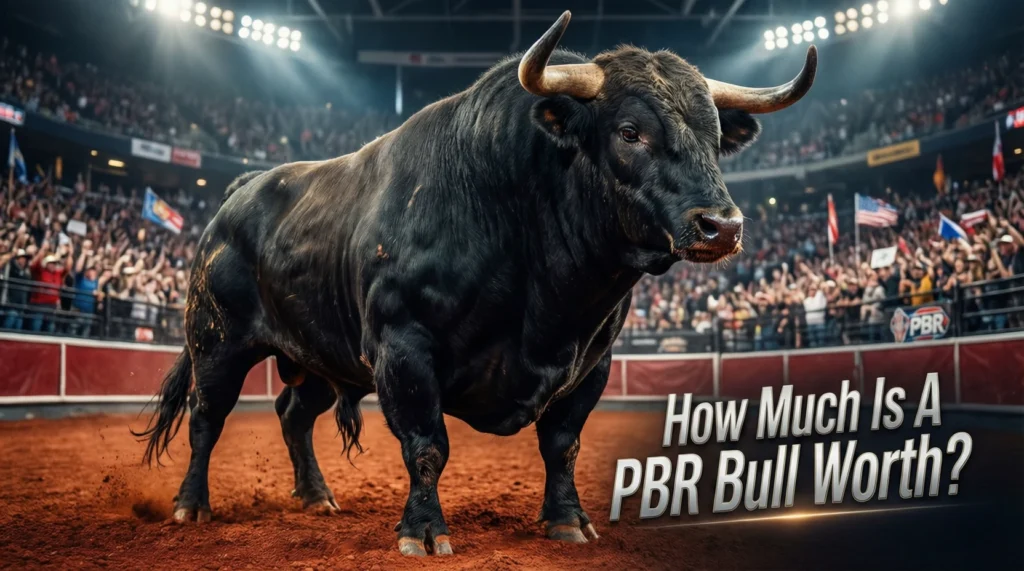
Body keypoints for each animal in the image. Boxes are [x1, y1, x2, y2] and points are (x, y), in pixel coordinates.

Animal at [136, 11, 816, 557]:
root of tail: (239, 193)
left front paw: (568, 521)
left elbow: (562, 444)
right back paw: (191, 505)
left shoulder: (593, 363)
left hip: (319, 356)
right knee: (206, 416)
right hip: (218, 340)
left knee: (292, 415)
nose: (722, 225)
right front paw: (423, 530)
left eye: (716, 139)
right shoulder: (403, 349)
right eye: (630, 131)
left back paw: (316, 497)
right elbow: (427, 446)